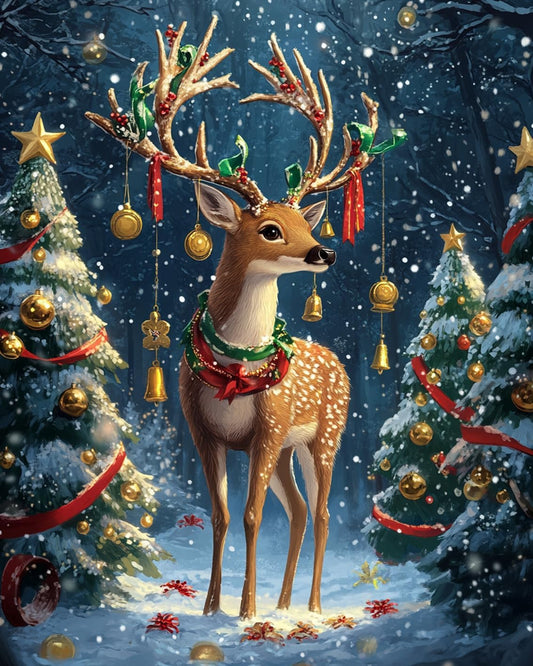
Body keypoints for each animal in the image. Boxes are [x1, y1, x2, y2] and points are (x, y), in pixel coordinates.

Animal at [86, 16, 379, 619]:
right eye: (270, 228)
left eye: (306, 221)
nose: (325, 252)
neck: (235, 370)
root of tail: (335, 359)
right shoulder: (204, 430)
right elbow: (222, 516)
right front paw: (212, 608)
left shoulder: (268, 429)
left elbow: (251, 515)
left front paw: (245, 611)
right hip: (294, 446)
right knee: (299, 511)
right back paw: (285, 605)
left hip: (326, 432)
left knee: (321, 513)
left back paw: (312, 607)